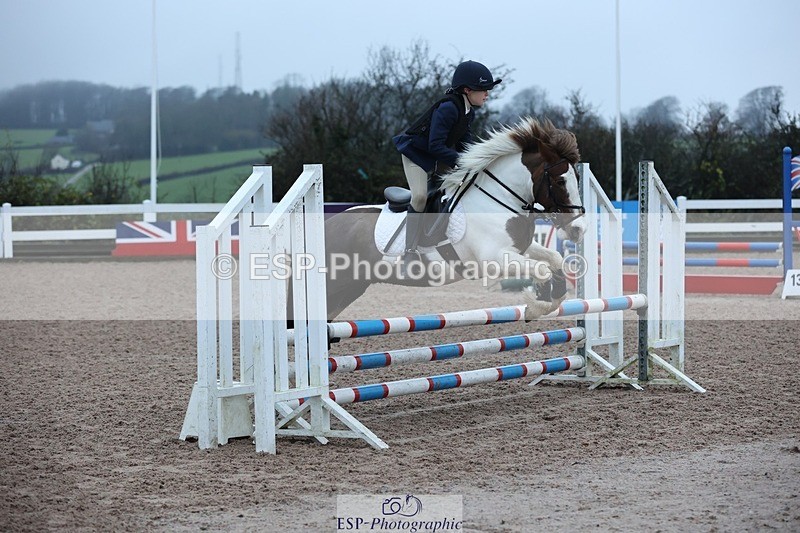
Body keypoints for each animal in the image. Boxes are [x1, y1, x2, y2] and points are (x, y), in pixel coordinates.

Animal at [322, 117, 586, 321]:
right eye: (560, 181)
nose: (578, 229)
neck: (498, 199)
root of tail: (328, 225)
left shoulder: (519, 248)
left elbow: (554, 259)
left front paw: (551, 297)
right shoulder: (494, 259)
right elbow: (541, 269)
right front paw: (536, 303)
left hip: (351, 288)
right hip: (335, 283)